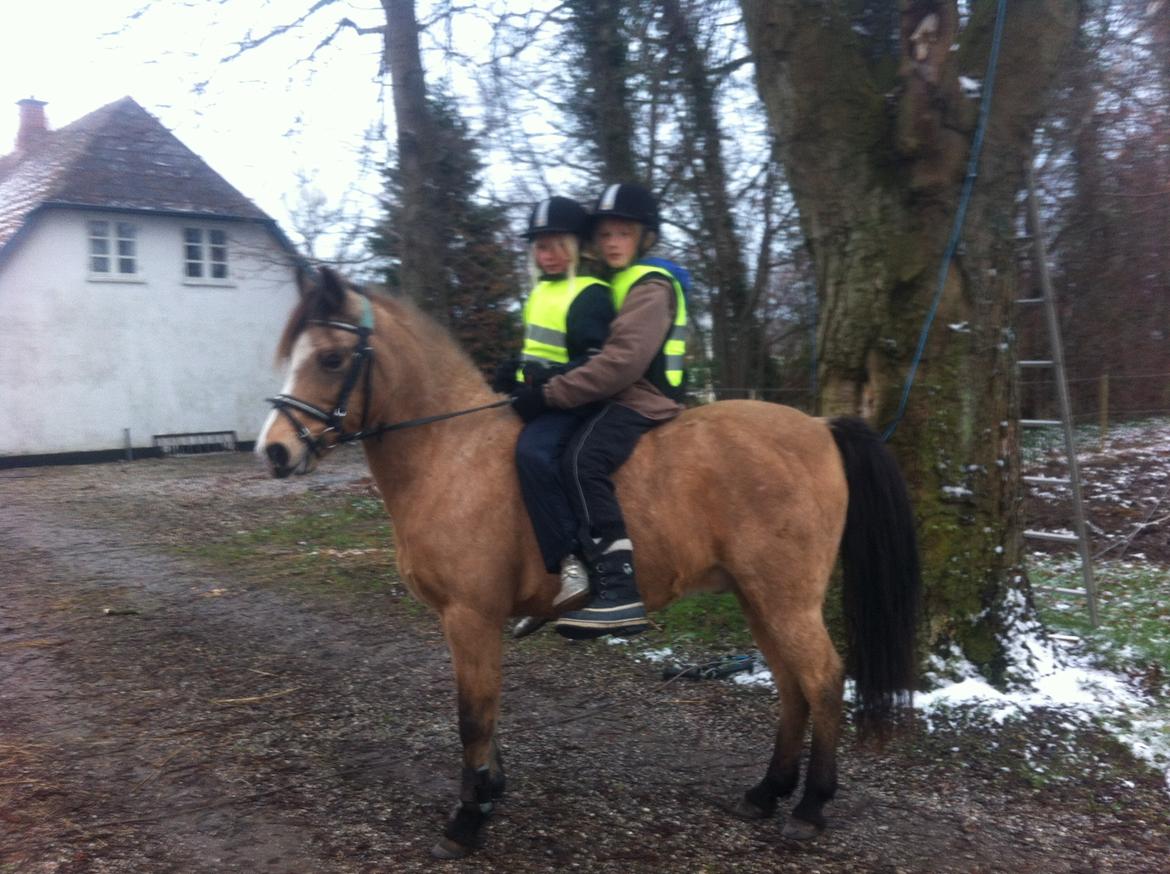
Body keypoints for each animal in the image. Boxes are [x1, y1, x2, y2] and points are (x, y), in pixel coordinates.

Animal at [256, 266, 921, 861]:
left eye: (332, 359)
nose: (275, 452)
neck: (451, 452)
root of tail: (819, 426)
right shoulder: (470, 620)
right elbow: (487, 710)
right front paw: (489, 792)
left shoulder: (471, 615)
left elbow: (473, 716)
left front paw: (467, 822)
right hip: (757, 595)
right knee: (790, 685)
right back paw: (766, 792)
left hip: (785, 596)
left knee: (823, 679)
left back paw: (810, 807)